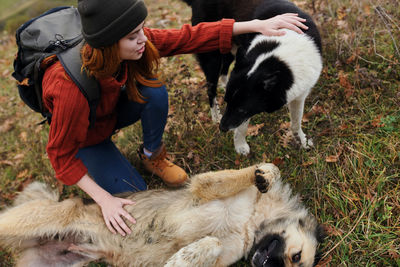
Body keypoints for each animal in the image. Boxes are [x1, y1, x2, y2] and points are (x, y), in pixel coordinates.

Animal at [181, 0, 322, 155]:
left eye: (241, 109)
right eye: (227, 102)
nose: (222, 129)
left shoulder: (300, 93)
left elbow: (296, 122)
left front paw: (303, 142)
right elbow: (242, 126)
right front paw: (240, 146)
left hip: (231, 49)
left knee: (225, 68)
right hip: (212, 55)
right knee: (210, 90)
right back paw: (215, 117)